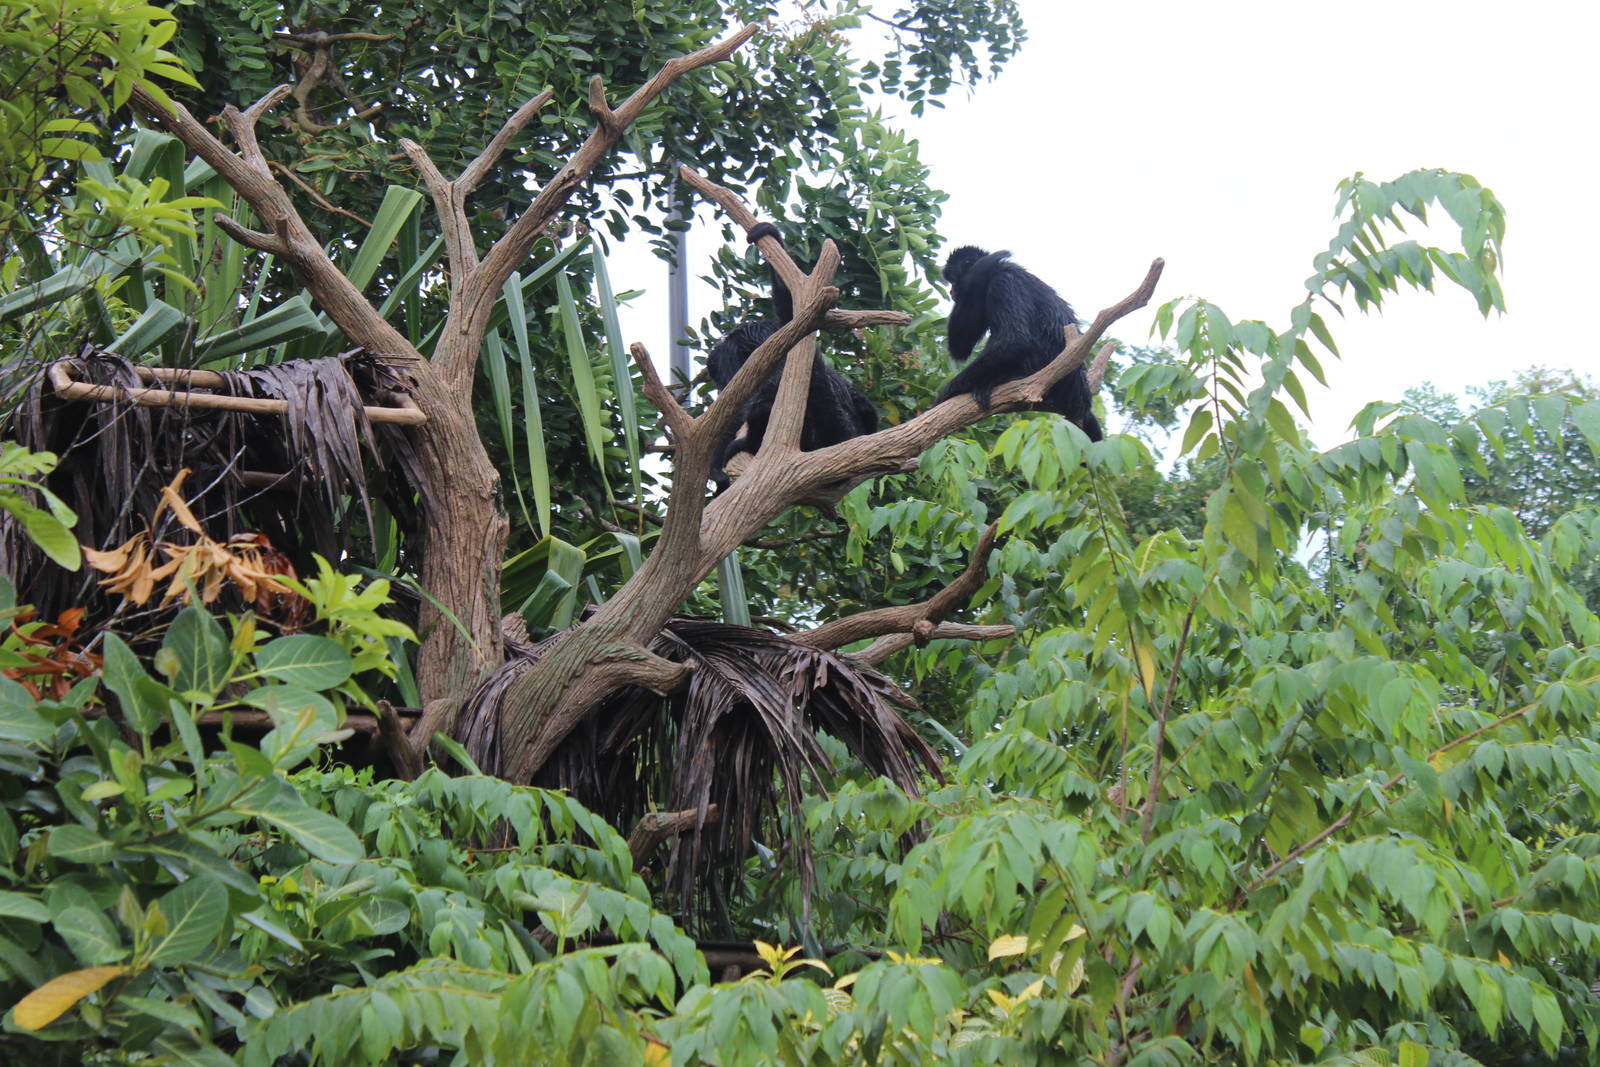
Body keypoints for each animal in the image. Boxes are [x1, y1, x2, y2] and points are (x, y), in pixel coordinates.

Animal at [935, 245, 1103, 441]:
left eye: (954, 280)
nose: (952, 291)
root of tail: (1081, 397)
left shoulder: (1005, 282)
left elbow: (1015, 341)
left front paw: (949, 391)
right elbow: (960, 346)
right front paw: (982, 267)